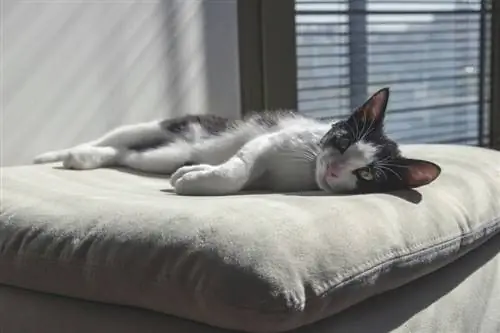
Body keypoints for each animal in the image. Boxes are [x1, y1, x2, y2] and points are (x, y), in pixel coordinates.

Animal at [33, 87, 442, 195]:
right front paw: (196, 179)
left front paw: (194, 175)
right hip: (173, 125)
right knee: (120, 137)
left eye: (367, 175)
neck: (305, 171)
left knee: (126, 154)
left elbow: (239, 174)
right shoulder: (271, 139)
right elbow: (241, 164)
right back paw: (56, 155)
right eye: (341, 141)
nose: (334, 168)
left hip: (163, 154)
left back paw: (83, 158)